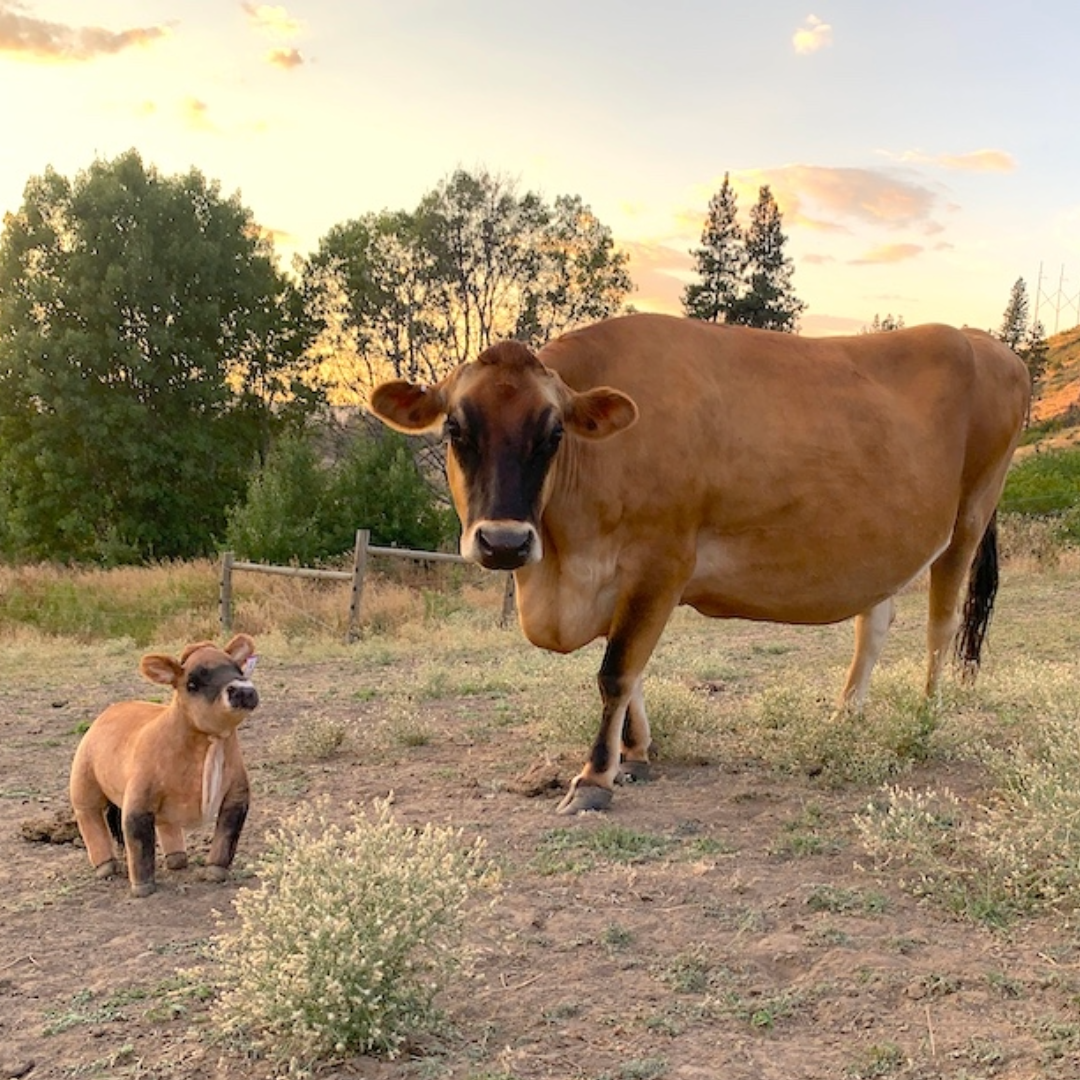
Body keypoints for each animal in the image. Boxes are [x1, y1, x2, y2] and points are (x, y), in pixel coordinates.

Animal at [69, 630, 259, 894]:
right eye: (191, 683)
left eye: (239, 670)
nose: (243, 691)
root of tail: (109, 712)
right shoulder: (138, 801)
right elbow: (139, 841)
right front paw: (143, 888)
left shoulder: (237, 795)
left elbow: (227, 835)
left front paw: (214, 872)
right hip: (84, 787)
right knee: (90, 818)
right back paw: (105, 866)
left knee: (167, 826)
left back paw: (177, 858)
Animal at [371, 313, 1028, 812]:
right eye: (456, 428)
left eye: (554, 433)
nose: (504, 542)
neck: (561, 563)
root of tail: (985, 340)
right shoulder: (619, 577)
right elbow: (630, 670)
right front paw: (634, 755)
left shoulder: (661, 562)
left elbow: (616, 670)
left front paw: (594, 777)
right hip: (885, 544)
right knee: (876, 623)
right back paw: (846, 715)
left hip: (970, 515)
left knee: (942, 624)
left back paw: (925, 715)